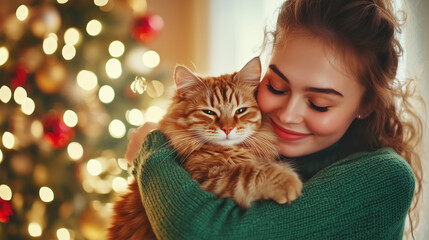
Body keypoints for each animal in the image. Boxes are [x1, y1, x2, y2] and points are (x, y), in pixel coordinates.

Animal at [107, 57, 300, 239]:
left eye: (241, 111)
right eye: (209, 112)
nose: (227, 129)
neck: (231, 151)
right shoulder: (206, 178)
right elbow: (248, 174)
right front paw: (288, 182)